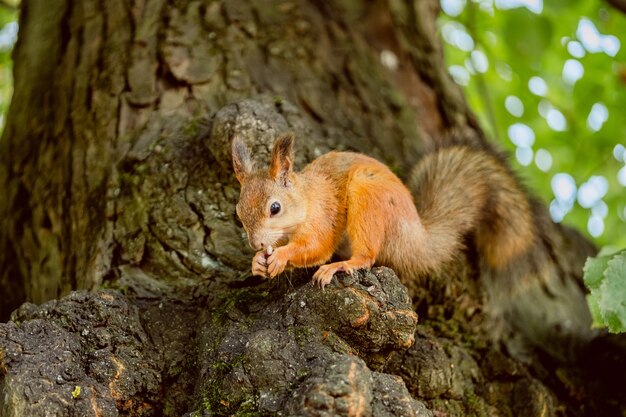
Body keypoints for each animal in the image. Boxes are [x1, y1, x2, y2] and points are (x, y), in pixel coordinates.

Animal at [232, 132, 532, 286]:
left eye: (275, 208)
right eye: (238, 213)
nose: (255, 244)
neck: (306, 198)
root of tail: (416, 237)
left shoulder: (324, 215)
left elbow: (317, 246)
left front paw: (281, 256)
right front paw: (257, 262)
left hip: (368, 195)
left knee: (367, 256)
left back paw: (340, 265)